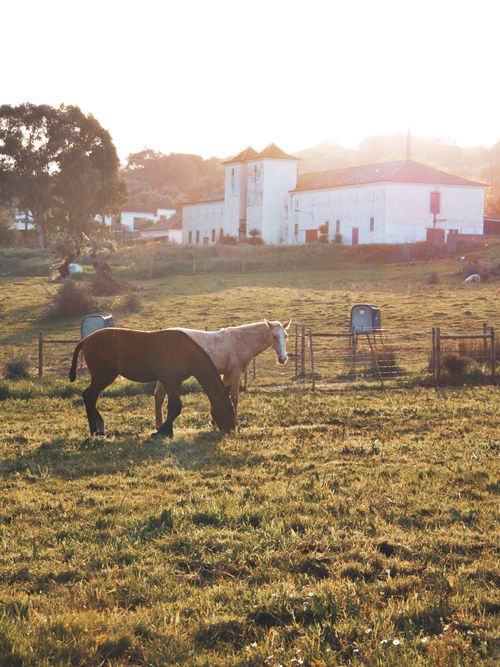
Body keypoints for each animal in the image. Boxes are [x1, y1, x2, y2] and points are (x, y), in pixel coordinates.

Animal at [69, 328, 236, 437]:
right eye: (229, 408)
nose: (232, 430)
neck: (185, 351)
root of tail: (86, 340)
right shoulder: (169, 380)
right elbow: (176, 406)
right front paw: (161, 431)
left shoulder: (175, 382)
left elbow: (172, 406)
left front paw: (167, 431)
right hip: (103, 377)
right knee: (89, 397)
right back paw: (95, 431)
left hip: (102, 378)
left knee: (88, 396)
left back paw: (100, 427)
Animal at [154, 319, 291, 428]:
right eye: (274, 336)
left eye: (286, 336)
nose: (283, 358)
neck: (241, 341)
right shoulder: (235, 373)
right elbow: (234, 398)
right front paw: (237, 425)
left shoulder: (226, 374)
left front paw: (214, 423)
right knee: (159, 395)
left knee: (159, 396)